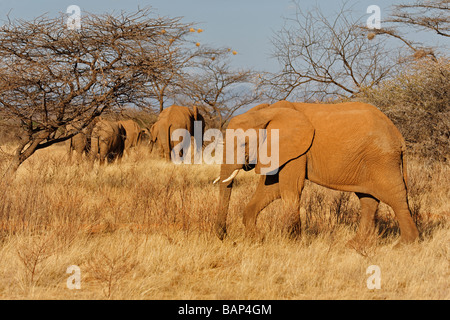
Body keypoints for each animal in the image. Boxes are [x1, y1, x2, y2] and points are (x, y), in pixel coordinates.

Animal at [213, 100, 420, 245]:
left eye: (243, 144)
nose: (227, 238)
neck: (267, 112)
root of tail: (397, 134)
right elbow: (271, 188)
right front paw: (257, 239)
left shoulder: (297, 150)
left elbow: (290, 188)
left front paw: (291, 242)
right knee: (368, 199)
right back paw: (354, 245)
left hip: (382, 159)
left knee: (395, 196)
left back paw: (404, 245)